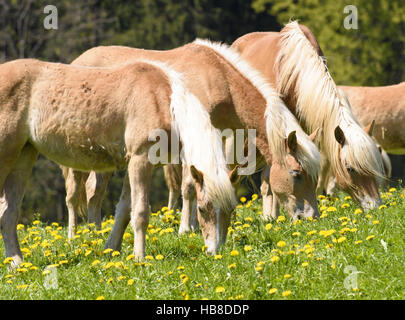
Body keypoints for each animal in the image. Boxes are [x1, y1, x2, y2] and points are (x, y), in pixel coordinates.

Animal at [0, 58, 237, 264]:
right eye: (202, 210)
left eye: (230, 211)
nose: (215, 253)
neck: (164, 100)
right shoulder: (141, 160)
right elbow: (140, 212)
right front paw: (140, 258)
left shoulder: (135, 163)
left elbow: (123, 210)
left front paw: (111, 248)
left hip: (24, 156)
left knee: (8, 213)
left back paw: (17, 263)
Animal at [62, 38, 322, 245]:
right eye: (296, 174)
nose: (311, 217)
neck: (218, 77)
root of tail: (76, 62)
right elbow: (188, 186)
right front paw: (186, 228)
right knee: (74, 194)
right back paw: (75, 236)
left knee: (94, 192)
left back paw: (97, 234)